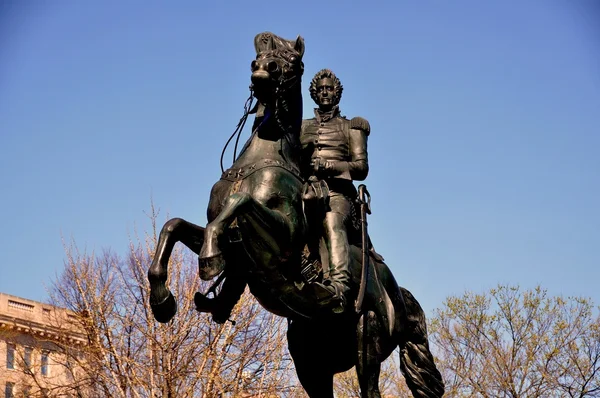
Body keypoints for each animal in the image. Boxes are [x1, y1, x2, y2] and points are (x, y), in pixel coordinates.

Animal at [148, 31, 442, 398]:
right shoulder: (234, 243)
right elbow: (172, 227)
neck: (264, 157)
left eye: (294, 62)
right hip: (311, 359)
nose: (263, 69)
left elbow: (239, 202)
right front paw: (162, 301)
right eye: (259, 57)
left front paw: (209, 259)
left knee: (370, 389)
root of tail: (399, 293)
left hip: (367, 339)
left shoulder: (282, 240)